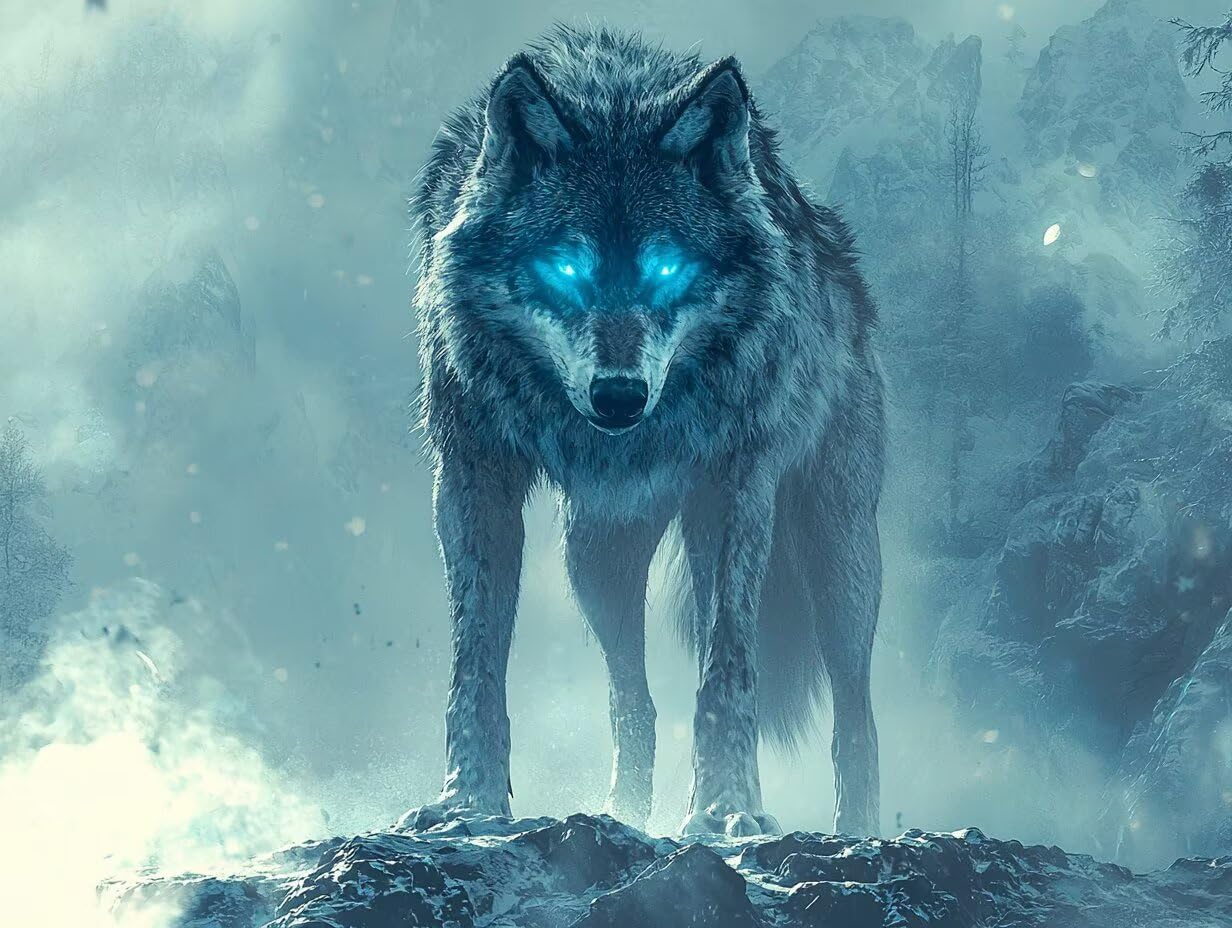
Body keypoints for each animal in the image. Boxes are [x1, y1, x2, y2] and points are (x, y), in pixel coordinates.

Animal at [406, 25, 884, 838]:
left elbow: (729, 669)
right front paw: (468, 802)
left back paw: (860, 831)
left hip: (838, 555)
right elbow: (476, 665)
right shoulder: (473, 477)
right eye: (567, 267)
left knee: (857, 714)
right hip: (594, 562)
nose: (620, 396)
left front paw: (726, 808)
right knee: (633, 700)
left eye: (666, 269)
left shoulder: (734, 486)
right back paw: (623, 812)